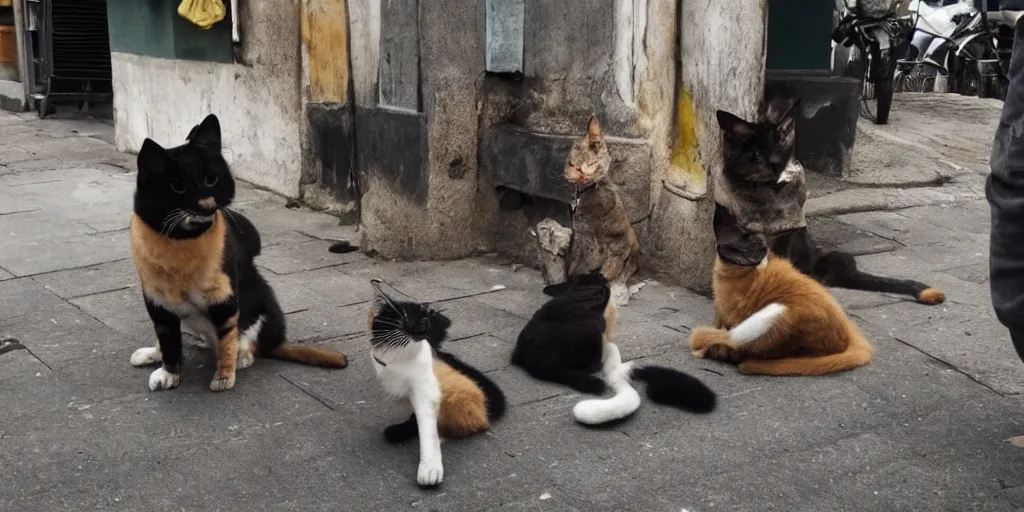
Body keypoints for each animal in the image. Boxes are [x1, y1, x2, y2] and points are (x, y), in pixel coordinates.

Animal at [124, 113, 344, 391]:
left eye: (211, 180)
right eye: (178, 188)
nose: (208, 205)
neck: (179, 239)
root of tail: (275, 343)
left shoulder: (224, 296)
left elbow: (227, 337)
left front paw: (224, 375)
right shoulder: (158, 303)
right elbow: (168, 342)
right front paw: (169, 373)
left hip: (259, 303)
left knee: (245, 340)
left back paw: (241, 356)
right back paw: (157, 352)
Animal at [366, 280, 505, 487]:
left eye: (424, 322)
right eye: (402, 320)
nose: (417, 331)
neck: (398, 360)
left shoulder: (427, 390)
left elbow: (427, 430)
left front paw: (429, 468)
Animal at [688, 203, 872, 376]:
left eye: (758, 246)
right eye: (739, 244)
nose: (754, 253)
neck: (729, 273)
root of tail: (847, 338)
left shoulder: (733, 316)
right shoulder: (722, 315)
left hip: (775, 311)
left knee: (738, 344)